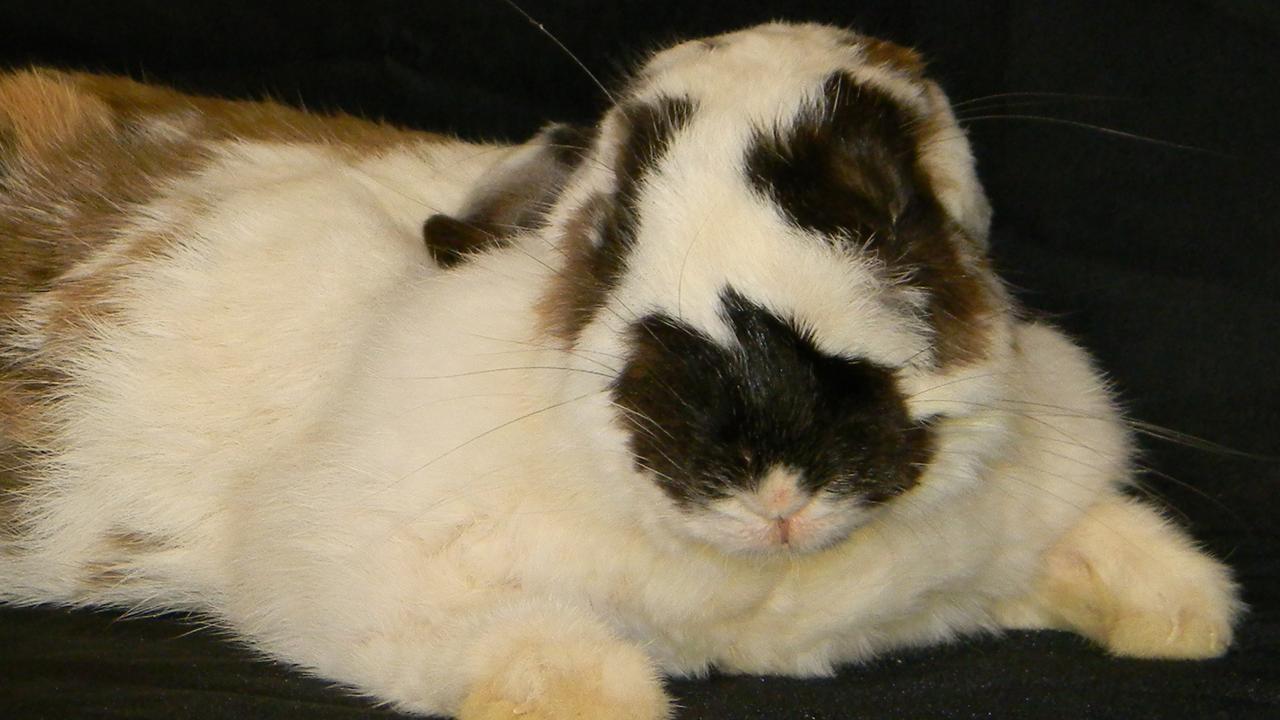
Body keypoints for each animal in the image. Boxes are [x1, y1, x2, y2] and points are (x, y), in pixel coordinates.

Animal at [0, 19, 1239, 712]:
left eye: (901, 216)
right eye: (611, 229)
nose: (773, 471)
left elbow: (1098, 535)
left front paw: (1186, 617)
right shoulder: (340, 567)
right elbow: (513, 644)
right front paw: (595, 694)